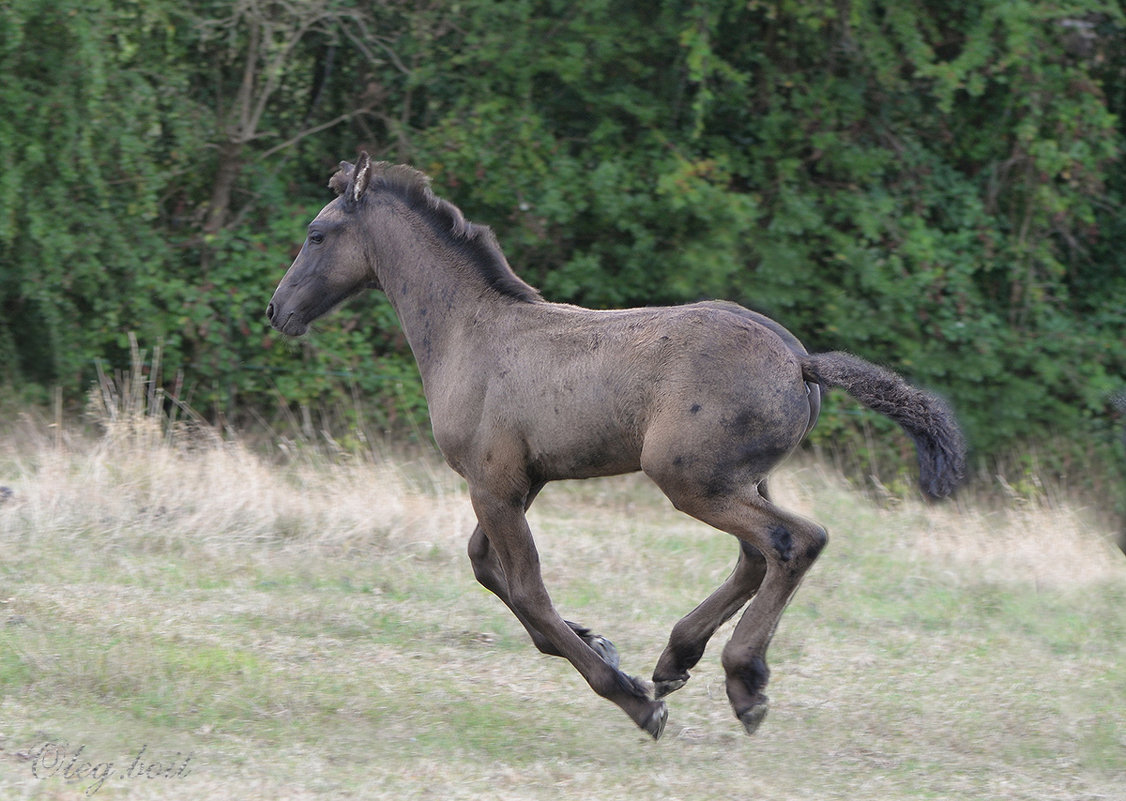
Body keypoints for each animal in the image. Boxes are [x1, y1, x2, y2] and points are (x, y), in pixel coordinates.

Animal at [265, 153, 968, 743]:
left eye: (317, 234)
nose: (277, 311)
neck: (472, 331)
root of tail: (801, 361)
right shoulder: (520, 482)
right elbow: (488, 567)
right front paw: (601, 644)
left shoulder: (492, 484)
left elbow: (527, 590)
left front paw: (631, 699)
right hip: (738, 477)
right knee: (756, 554)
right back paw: (676, 659)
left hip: (689, 479)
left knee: (795, 541)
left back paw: (743, 683)